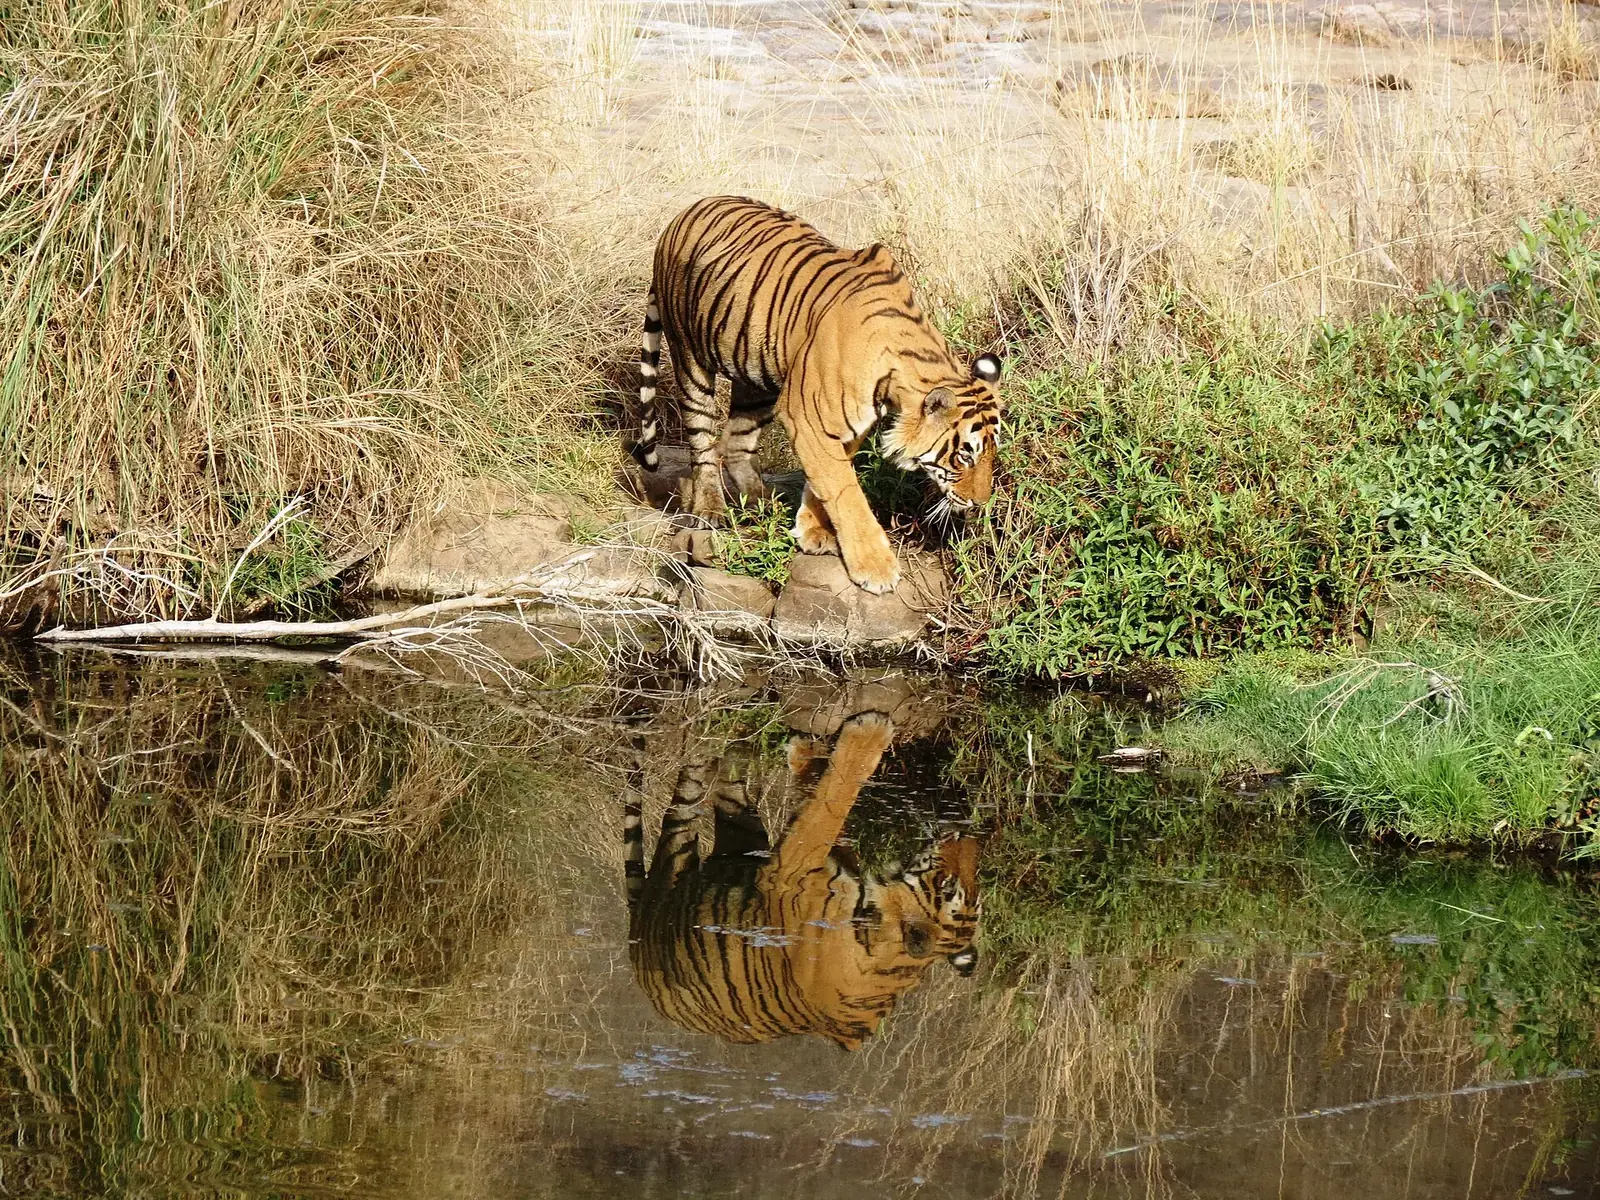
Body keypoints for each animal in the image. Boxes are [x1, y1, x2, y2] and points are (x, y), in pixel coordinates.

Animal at [621, 711, 981, 1051]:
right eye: (954, 887)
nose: (969, 834)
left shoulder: (793, 867)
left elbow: (833, 803)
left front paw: (870, 730)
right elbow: (828, 802)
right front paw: (806, 753)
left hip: (686, 853)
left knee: (691, 793)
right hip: (740, 831)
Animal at [632, 195, 1004, 595]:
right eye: (964, 457)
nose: (980, 503)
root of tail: (684, 213)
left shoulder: (846, 425)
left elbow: (824, 482)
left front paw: (812, 530)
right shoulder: (807, 415)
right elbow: (846, 492)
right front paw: (876, 568)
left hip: (756, 376)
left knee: (735, 441)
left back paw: (762, 504)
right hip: (690, 357)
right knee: (702, 439)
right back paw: (710, 510)